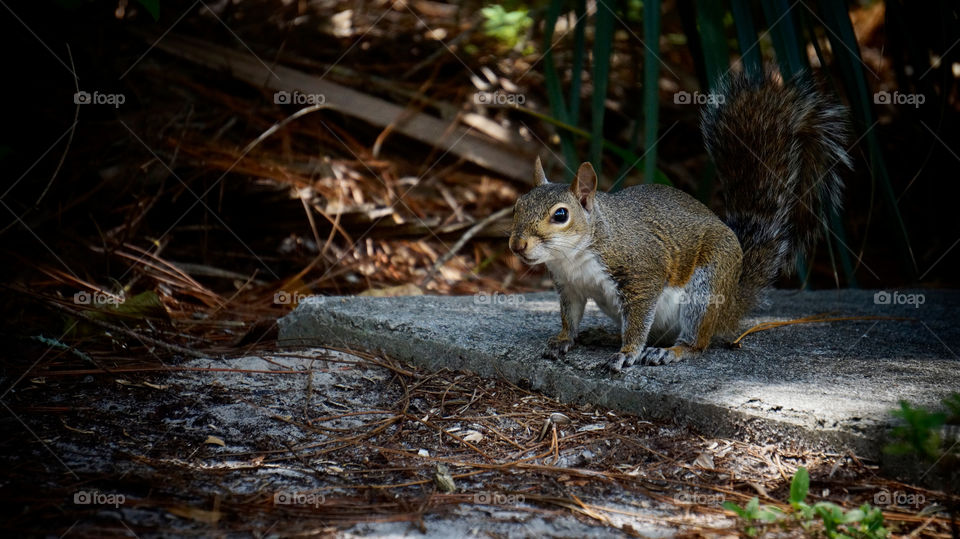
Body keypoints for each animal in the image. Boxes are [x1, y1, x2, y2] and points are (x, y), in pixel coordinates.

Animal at [508, 73, 851, 370]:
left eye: (561, 215)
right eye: (517, 205)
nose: (517, 244)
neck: (574, 255)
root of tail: (728, 309)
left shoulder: (642, 272)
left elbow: (638, 320)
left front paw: (627, 353)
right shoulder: (569, 286)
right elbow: (570, 316)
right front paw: (563, 339)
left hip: (706, 288)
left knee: (697, 343)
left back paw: (671, 351)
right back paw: (604, 334)